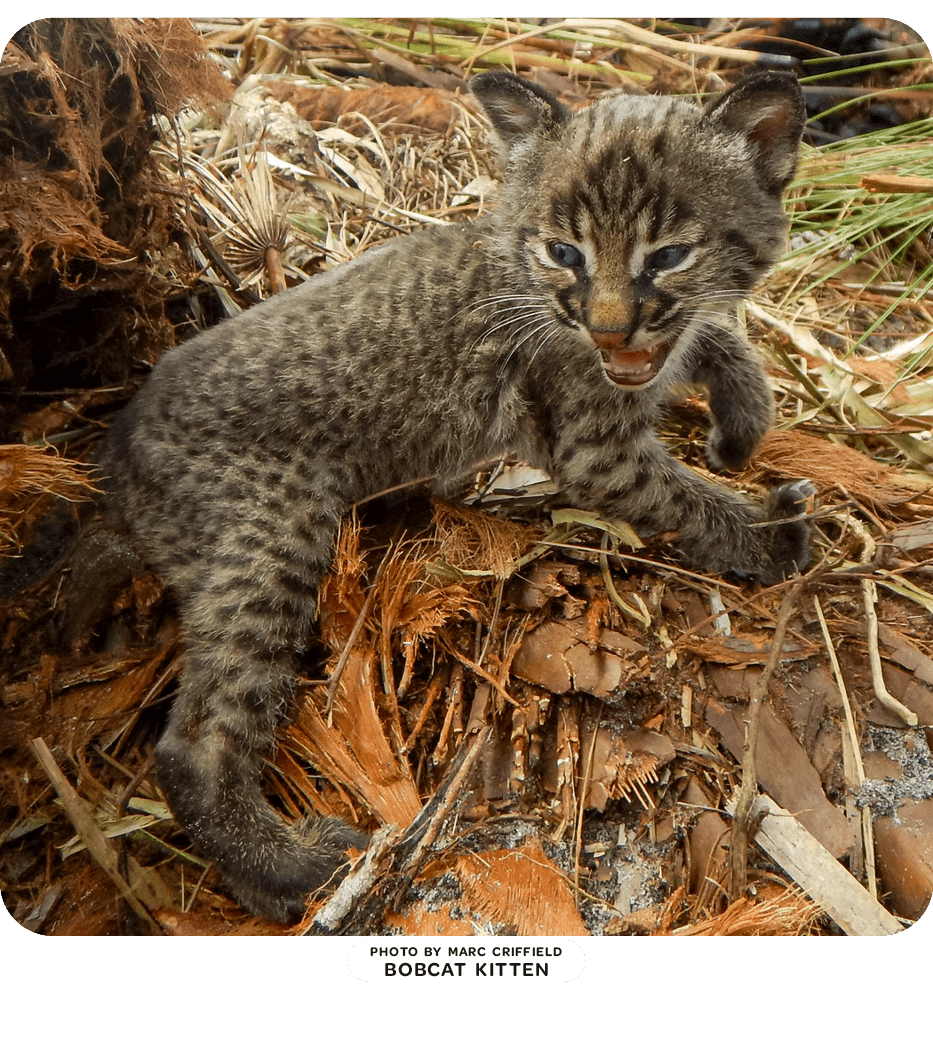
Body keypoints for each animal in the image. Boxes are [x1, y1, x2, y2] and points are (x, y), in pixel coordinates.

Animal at [102, 69, 812, 921]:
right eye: (563, 253)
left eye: (668, 256)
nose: (606, 328)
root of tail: (119, 445)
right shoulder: (595, 452)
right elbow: (689, 500)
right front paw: (770, 534)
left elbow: (716, 339)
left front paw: (739, 425)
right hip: (270, 535)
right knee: (194, 741)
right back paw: (296, 869)